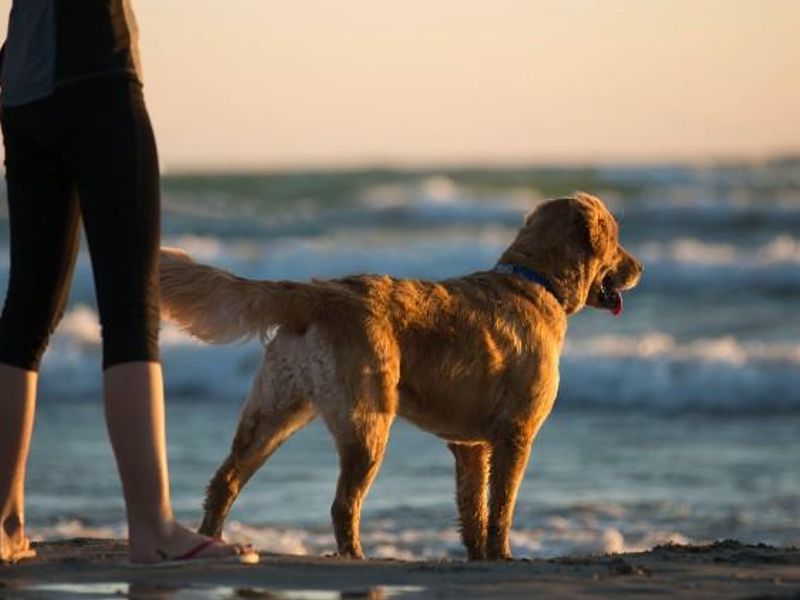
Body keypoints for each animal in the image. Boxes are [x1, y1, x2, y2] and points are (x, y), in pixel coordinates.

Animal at [159, 193, 640, 564]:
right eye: (617, 240)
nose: (639, 268)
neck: (536, 281)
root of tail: (319, 292)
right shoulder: (515, 434)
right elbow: (501, 505)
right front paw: (502, 555)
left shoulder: (470, 445)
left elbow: (473, 508)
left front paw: (477, 556)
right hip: (367, 423)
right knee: (342, 504)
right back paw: (354, 556)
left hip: (274, 411)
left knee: (225, 480)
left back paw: (211, 541)